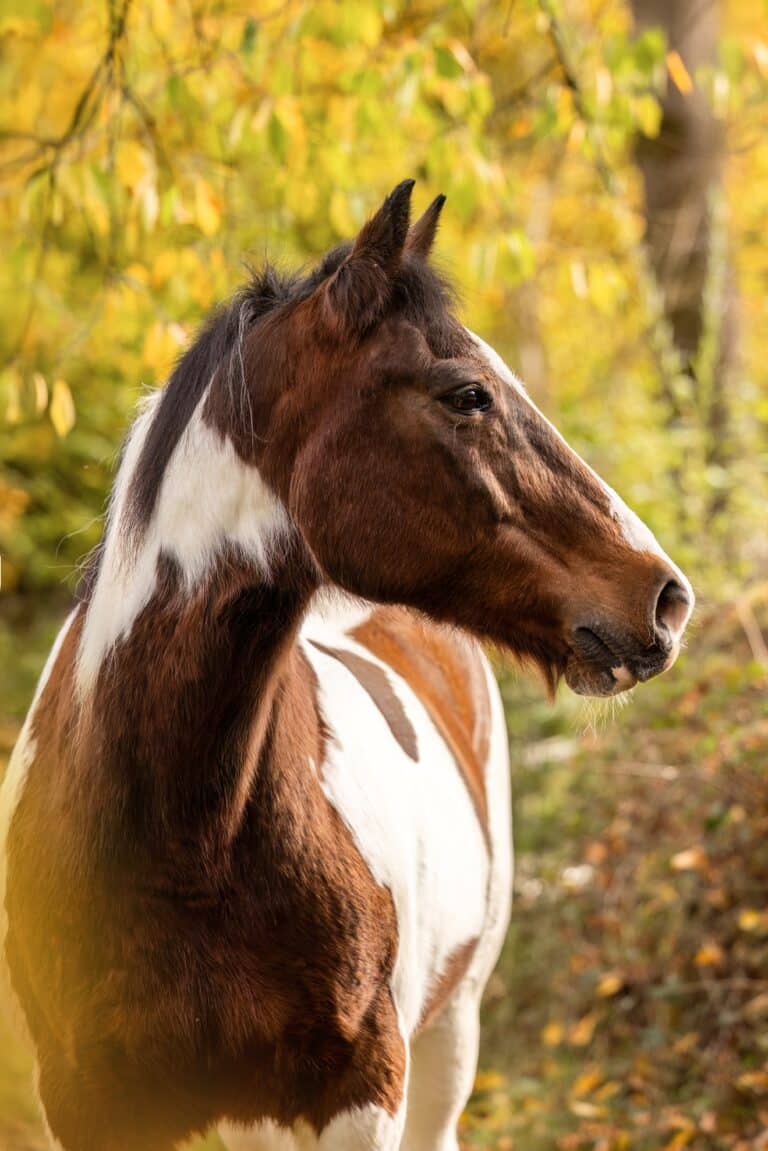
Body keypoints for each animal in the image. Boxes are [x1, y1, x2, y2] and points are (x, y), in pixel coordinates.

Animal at [0, 181, 693, 1151]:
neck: (178, 839)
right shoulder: (90, 1103)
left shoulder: (360, 1093)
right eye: (468, 393)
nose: (665, 597)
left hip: (448, 1038)